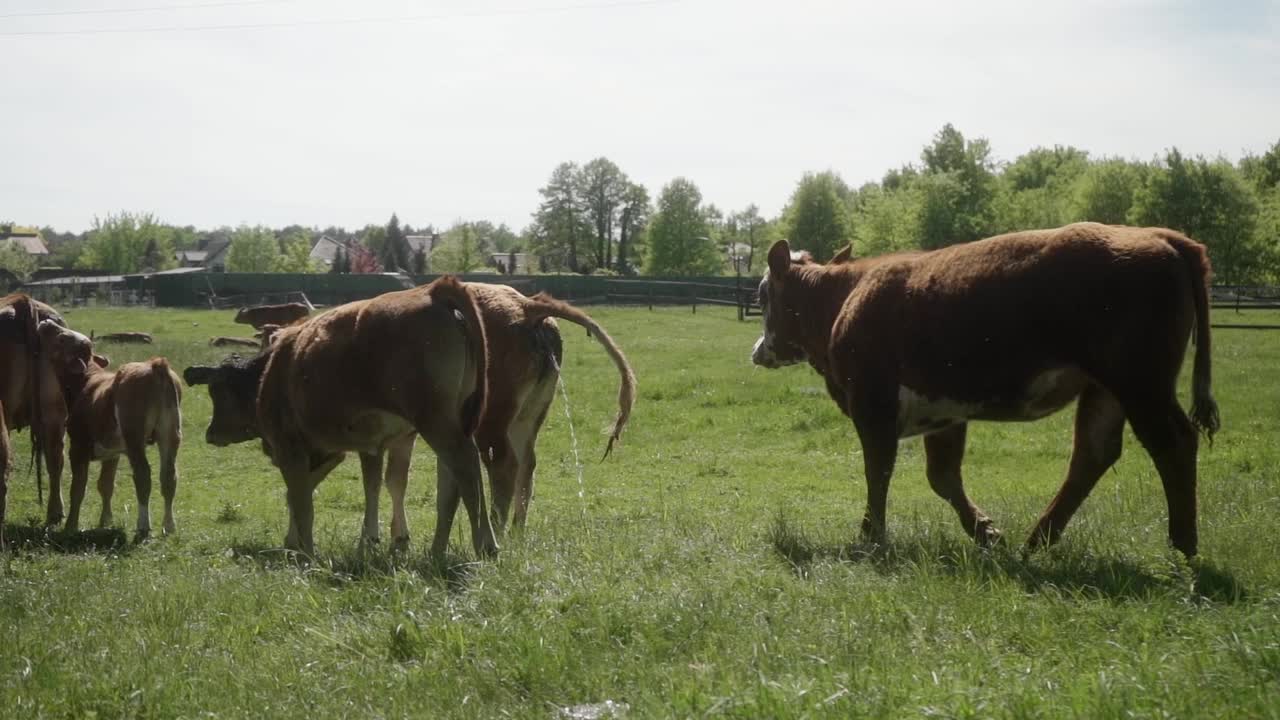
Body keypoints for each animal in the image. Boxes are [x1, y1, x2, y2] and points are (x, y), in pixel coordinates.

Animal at [185, 274, 494, 556]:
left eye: (217, 392)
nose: (211, 434)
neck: (271, 373)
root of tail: (435, 290)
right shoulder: (375, 443)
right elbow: (375, 485)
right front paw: (373, 541)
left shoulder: (291, 448)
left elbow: (300, 499)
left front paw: (304, 551)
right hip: (451, 422)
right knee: (450, 482)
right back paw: (437, 550)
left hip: (436, 423)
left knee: (465, 466)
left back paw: (486, 544)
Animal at [747, 221, 1218, 558]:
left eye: (763, 293)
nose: (757, 350)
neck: (844, 298)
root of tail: (1157, 235)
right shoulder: (943, 412)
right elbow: (943, 478)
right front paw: (985, 532)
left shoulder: (872, 405)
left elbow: (877, 472)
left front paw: (871, 536)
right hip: (1107, 389)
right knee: (1093, 453)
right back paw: (1038, 540)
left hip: (1142, 385)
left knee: (1173, 443)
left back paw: (1183, 544)